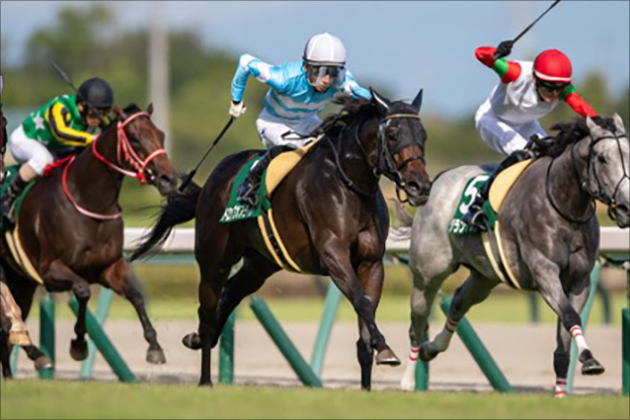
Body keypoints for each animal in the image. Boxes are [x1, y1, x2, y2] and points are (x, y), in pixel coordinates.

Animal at [1, 104, 179, 368]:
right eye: (134, 138)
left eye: (162, 135)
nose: (169, 178)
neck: (89, 200)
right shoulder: (50, 269)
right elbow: (83, 291)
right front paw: (78, 344)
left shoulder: (108, 267)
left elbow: (136, 296)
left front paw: (154, 346)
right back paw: (37, 354)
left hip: (21, 279)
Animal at [131, 90, 432, 388]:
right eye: (392, 134)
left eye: (423, 134)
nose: (420, 185)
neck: (349, 184)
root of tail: (211, 182)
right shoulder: (333, 255)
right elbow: (362, 300)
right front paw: (385, 348)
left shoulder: (371, 262)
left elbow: (365, 325)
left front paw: (371, 376)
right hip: (214, 260)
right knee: (208, 309)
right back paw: (205, 378)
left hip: (259, 265)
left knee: (230, 294)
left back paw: (197, 339)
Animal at [400, 115, 630, 398]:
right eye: (602, 158)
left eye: (629, 155)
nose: (626, 207)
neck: (562, 205)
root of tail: (439, 179)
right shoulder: (543, 271)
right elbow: (570, 317)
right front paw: (590, 360)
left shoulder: (579, 282)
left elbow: (564, 341)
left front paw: (561, 393)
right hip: (428, 274)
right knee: (418, 322)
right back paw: (408, 380)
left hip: (484, 277)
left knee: (458, 302)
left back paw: (432, 348)